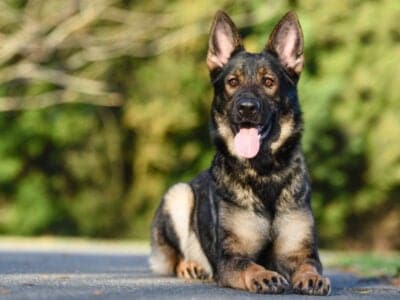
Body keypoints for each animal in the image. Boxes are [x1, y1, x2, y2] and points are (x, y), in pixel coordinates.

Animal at [150, 9, 332, 296]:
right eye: (232, 82)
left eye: (268, 82)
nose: (247, 107)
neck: (263, 173)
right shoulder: (232, 258)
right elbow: (250, 266)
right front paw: (264, 276)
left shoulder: (302, 253)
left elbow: (309, 266)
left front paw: (312, 278)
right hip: (179, 194)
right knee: (174, 258)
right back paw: (190, 266)